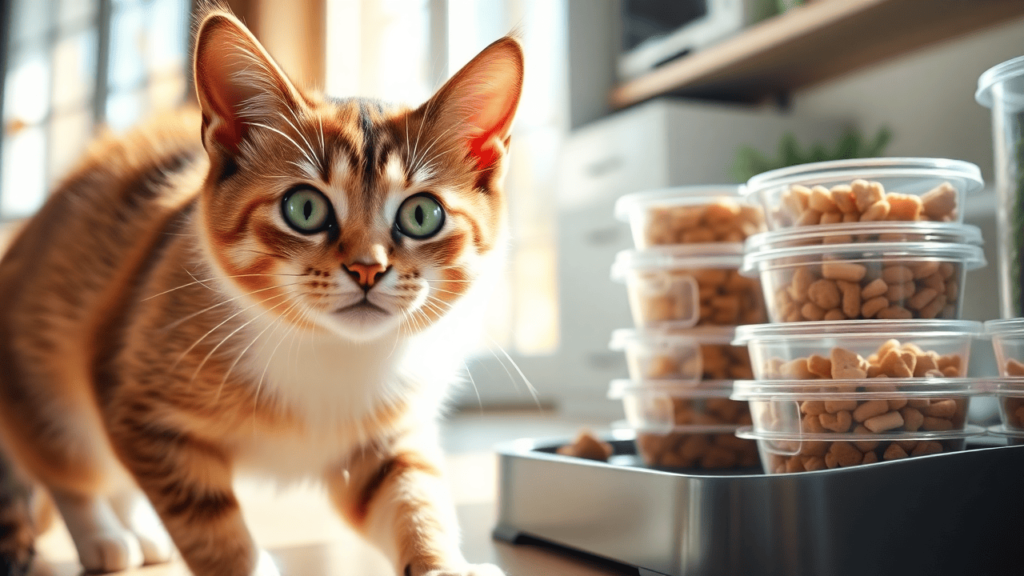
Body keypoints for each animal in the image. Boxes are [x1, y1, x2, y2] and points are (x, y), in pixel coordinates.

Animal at [0, 7, 520, 573]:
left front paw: (443, 561)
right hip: (48, 381)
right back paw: (103, 537)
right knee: (72, 468)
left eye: (422, 215)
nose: (367, 269)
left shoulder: (383, 443)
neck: (332, 352)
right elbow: (205, 522)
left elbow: (412, 498)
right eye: (305, 208)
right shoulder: (133, 393)